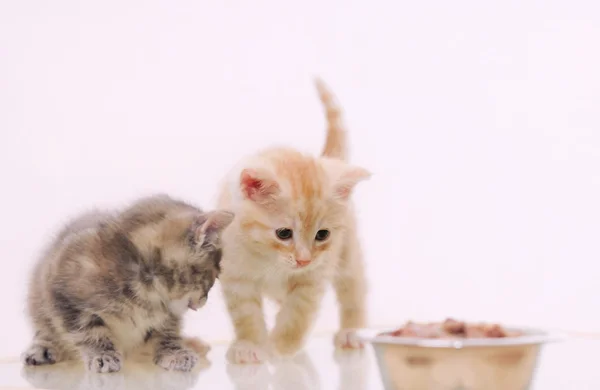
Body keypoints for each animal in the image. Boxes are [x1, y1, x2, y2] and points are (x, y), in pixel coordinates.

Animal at [21, 194, 233, 372]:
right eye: (214, 276)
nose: (204, 300)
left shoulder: (169, 314)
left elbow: (167, 332)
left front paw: (174, 353)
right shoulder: (62, 292)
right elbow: (88, 331)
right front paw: (102, 355)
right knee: (46, 328)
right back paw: (42, 348)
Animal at [217, 78, 370, 362]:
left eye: (322, 234)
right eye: (284, 233)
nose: (303, 260)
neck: (269, 259)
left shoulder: (314, 277)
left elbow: (297, 313)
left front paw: (282, 346)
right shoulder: (235, 275)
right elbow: (246, 315)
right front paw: (250, 345)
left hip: (346, 254)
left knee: (353, 290)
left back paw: (352, 331)